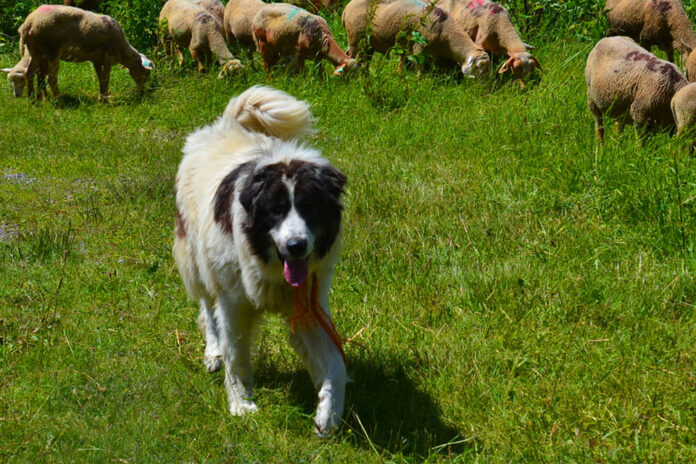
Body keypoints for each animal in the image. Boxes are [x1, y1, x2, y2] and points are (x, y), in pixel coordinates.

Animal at [174, 86, 348, 436]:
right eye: (276, 210)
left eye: (309, 207)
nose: (296, 246)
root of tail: (226, 126)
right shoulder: (233, 302)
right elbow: (236, 354)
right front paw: (241, 404)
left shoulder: (309, 303)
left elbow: (334, 361)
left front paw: (328, 414)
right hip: (197, 259)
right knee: (206, 306)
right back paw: (212, 351)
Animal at [342, 0, 490, 78]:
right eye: (479, 67)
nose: (482, 89)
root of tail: (346, 8)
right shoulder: (419, 49)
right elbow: (420, 71)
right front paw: (419, 84)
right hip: (355, 36)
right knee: (351, 56)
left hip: (367, 43)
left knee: (362, 58)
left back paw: (364, 75)